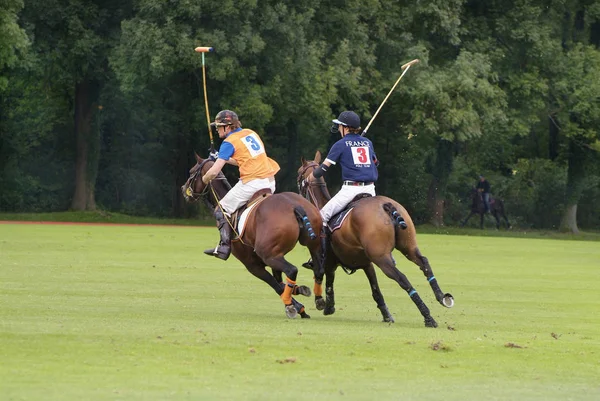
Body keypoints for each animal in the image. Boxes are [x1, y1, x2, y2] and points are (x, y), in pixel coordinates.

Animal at [182, 153, 326, 318]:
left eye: (192, 172)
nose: (183, 189)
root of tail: (295, 206)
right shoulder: (275, 256)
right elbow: (279, 282)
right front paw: (298, 295)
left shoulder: (252, 264)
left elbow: (276, 285)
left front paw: (295, 306)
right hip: (312, 244)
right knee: (318, 269)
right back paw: (318, 299)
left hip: (268, 254)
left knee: (292, 270)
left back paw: (292, 306)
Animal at [298, 152, 458, 326]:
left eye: (299, 174)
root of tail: (386, 206)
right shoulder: (367, 263)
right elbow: (376, 291)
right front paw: (387, 315)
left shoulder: (329, 261)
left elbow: (325, 279)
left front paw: (325, 305)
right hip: (407, 246)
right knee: (424, 262)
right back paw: (442, 297)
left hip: (381, 258)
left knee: (402, 278)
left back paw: (428, 316)